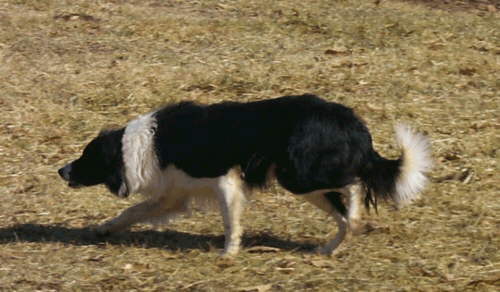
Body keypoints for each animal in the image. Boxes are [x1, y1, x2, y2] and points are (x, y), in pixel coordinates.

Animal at [58, 95, 432, 256]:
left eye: (86, 157)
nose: (61, 169)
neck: (144, 144)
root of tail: (354, 124)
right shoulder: (175, 192)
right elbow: (133, 211)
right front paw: (105, 229)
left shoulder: (225, 179)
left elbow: (230, 221)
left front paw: (229, 252)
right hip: (304, 180)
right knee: (344, 214)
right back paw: (329, 248)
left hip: (299, 176)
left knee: (354, 184)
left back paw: (351, 220)